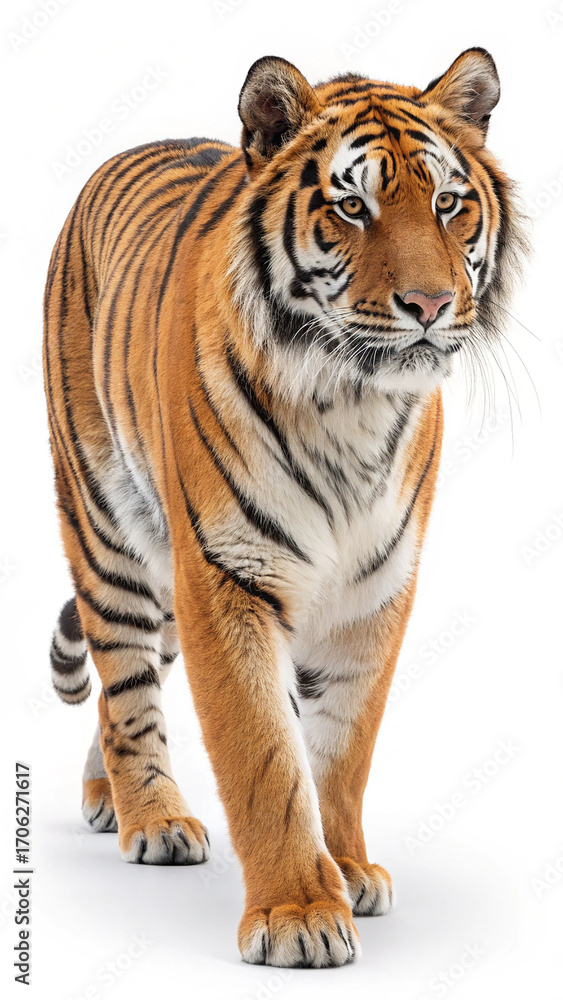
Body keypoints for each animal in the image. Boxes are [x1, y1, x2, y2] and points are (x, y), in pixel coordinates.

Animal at [43, 48, 526, 968]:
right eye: (351, 206)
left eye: (447, 204)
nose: (430, 306)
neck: (352, 401)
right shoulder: (227, 577)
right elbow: (264, 755)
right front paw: (299, 912)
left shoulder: (376, 587)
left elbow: (342, 747)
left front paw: (346, 868)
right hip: (108, 527)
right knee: (124, 681)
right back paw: (151, 815)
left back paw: (103, 792)